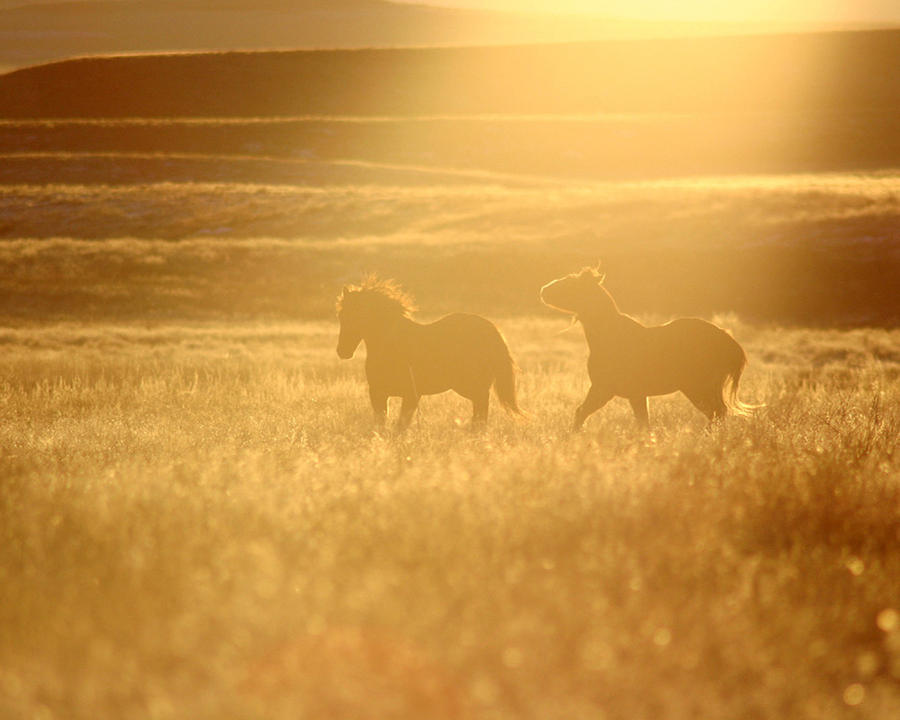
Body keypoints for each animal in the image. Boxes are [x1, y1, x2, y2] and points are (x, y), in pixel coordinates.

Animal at [334, 276, 524, 430]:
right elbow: (381, 425)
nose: (342, 351)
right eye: (341, 316)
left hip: (471, 386)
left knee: (481, 409)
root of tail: (491, 329)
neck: (391, 345)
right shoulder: (378, 394)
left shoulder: (411, 395)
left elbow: (400, 426)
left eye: (356, 316)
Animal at [540, 266, 752, 430]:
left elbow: (581, 412)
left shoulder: (603, 389)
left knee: (717, 413)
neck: (608, 336)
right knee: (718, 413)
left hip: (699, 388)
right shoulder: (636, 394)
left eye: (571, 283)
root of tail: (729, 341)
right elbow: (643, 423)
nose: (543, 290)